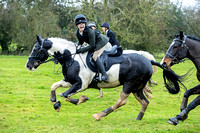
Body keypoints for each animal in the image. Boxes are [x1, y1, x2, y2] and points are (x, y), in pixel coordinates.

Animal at [25, 35, 182, 121]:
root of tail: (148, 61)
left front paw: (78, 100)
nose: (28, 65)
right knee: (144, 102)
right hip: (137, 87)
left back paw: (100, 114)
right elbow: (54, 86)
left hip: (129, 84)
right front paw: (55, 101)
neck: (71, 57)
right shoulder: (70, 81)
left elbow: (65, 95)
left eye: (37, 49)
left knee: (122, 101)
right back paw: (138, 118)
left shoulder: (81, 84)